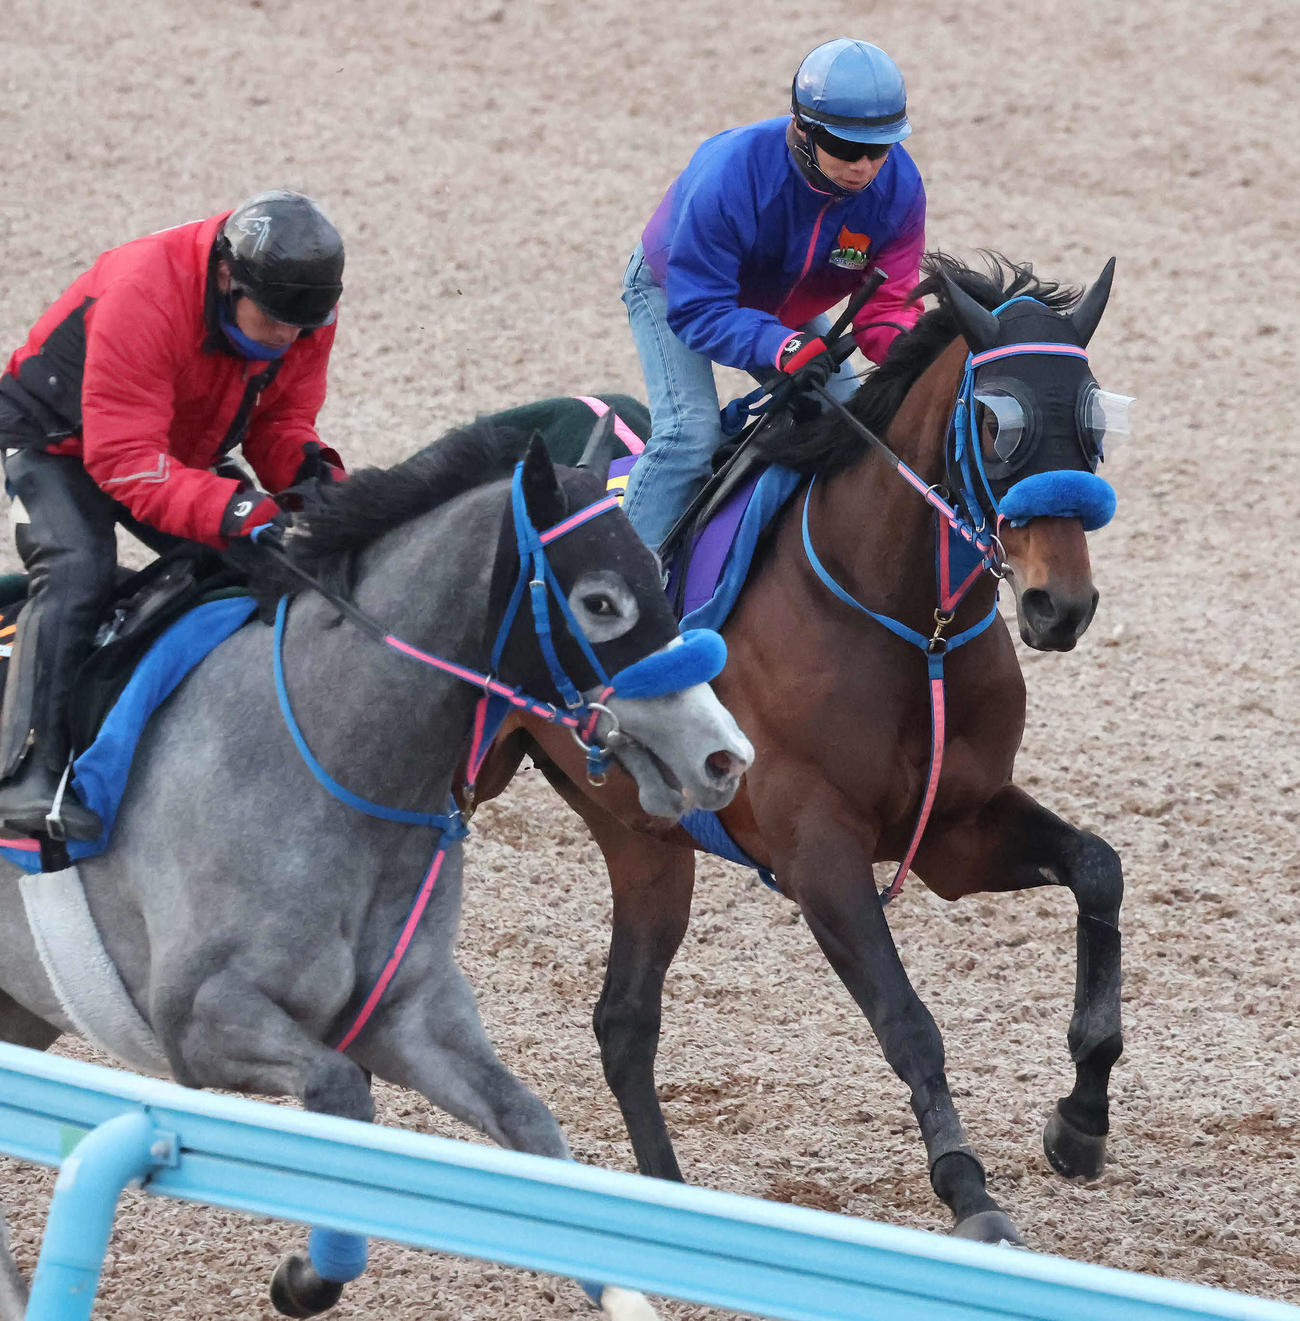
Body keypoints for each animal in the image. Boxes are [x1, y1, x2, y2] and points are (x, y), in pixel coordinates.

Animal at [0, 423, 753, 1320]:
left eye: (656, 568)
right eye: (602, 600)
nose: (725, 756)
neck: (328, 761)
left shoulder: (407, 1012)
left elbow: (528, 1120)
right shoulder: (198, 1016)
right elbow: (339, 1094)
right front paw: (304, 1276)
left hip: (19, 1004)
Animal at [470, 254, 1130, 1246]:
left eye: (1093, 420)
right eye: (997, 420)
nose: (1062, 605)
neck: (910, 624)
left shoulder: (959, 829)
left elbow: (1098, 869)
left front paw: (1081, 1118)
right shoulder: (817, 848)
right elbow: (907, 1019)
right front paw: (969, 1190)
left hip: (645, 842)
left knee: (624, 1022)